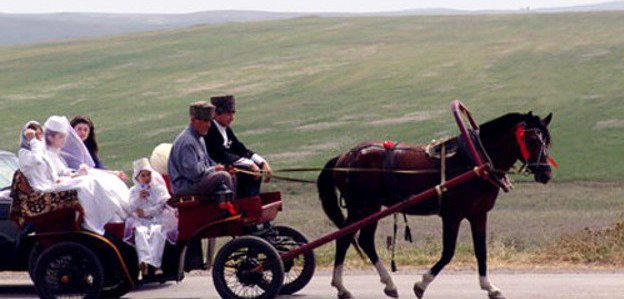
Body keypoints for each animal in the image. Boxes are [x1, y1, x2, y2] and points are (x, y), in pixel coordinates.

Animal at [320, 111, 552, 298]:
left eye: (547, 141)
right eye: (532, 139)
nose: (546, 173)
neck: (474, 161)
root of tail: (345, 156)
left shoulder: (478, 214)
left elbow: (481, 251)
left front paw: (490, 287)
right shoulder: (452, 215)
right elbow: (448, 252)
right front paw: (421, 285)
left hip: (370, 208)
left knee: (362, 240)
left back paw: (385, 285)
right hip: (361, 207)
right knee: (345, 238)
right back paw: (345, 287)